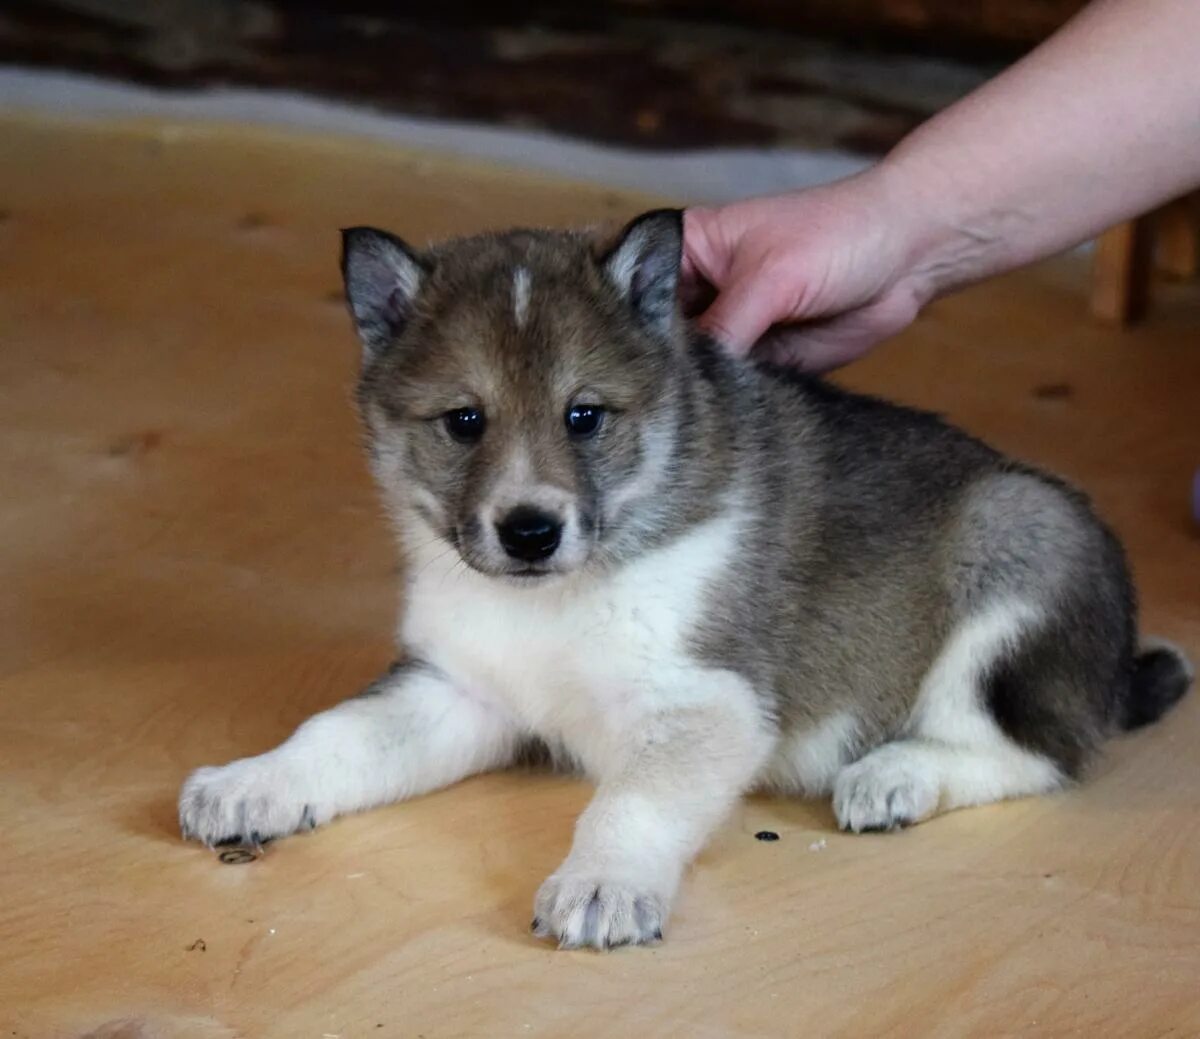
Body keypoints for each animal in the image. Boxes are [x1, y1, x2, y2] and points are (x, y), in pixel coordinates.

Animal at [177, 206, 1190, 945]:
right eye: (464, 421)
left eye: (584, 415)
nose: (530, 531)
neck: (560, 596)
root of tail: (1115, 668)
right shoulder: (459, 689)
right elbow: (336, 732)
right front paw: (249, 782)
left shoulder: (707, 701)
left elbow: (630, 802)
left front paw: (601, 884)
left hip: (1019, 541)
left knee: (1042, 753)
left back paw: (896, 774)